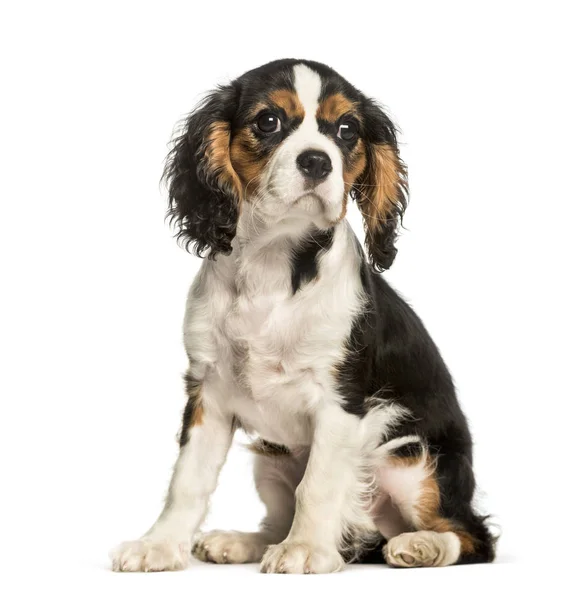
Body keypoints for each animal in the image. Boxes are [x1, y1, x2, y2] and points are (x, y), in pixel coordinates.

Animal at [110, 58, 492, 576]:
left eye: (347, 129)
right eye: (268, 121)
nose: (317, 161)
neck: (274, 262)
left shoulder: (341, 399)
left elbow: (318, 484)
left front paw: (307, 549)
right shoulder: (208, 388)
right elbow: (188, 479)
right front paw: (160, 545)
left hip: (411, 458)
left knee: (471, 536)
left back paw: (418, 546)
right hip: (272, 460)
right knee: (279, 516)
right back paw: (240, 542)